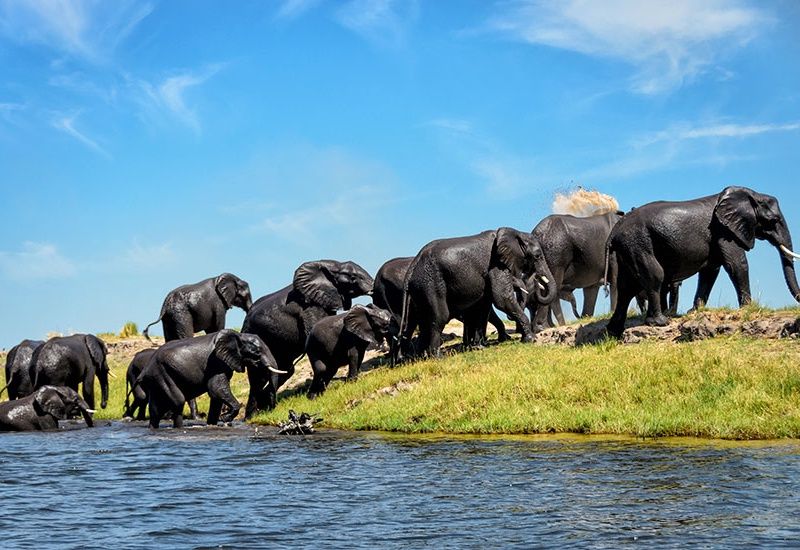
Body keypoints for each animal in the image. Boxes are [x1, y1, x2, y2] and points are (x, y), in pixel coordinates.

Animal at [138, 330, 284, 430]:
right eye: (257, 352)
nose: (270, 409)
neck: (238, 336)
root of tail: (146, 368)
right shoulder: (216, 362)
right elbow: (216, 389)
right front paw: (225, 419)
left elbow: (216, 396)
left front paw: (214, 424)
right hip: (161, 373)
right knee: (178, 401)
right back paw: (179, 428)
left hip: (156, 379)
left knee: (155, 409)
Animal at [241, 260, 376, 416]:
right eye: (353, 277)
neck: (331, 265)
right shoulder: (309, 307)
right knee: (258, 376)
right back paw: (251, 416)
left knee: (285, 370)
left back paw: (261, 408)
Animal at [400, 229, 556, 358]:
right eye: (537, 256)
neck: (515, 232)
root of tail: (413, 266)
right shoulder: (496, 264)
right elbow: (502, 299)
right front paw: (531, 339)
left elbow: (484, 308)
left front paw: (479, 347)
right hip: (431, 283)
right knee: (439, 318)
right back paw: (437, 357)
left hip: (420, 288)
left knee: (423, 321)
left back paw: (421, 358)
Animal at [608, 188, 800, 338]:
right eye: (773, 220)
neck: (751, 195)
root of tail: (614, 231)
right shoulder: (724, 231)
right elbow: (736, 264)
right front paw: (748, 309)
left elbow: (710, 272)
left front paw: (694, 311)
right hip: (638, 243)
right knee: (654, 276)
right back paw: (661, 322)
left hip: (629, 248)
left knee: (626, 287)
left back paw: (613, 331)